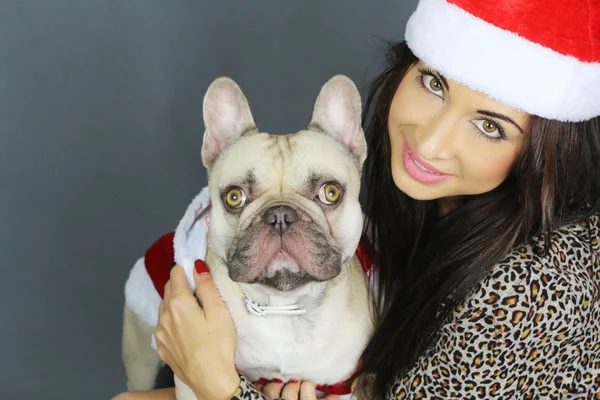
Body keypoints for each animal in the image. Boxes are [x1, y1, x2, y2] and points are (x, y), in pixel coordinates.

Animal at [120, 76, 376, 400]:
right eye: (234, 197)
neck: (284, 306)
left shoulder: (341, 386)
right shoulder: (191, 380)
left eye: (330, 193)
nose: (280, 215)